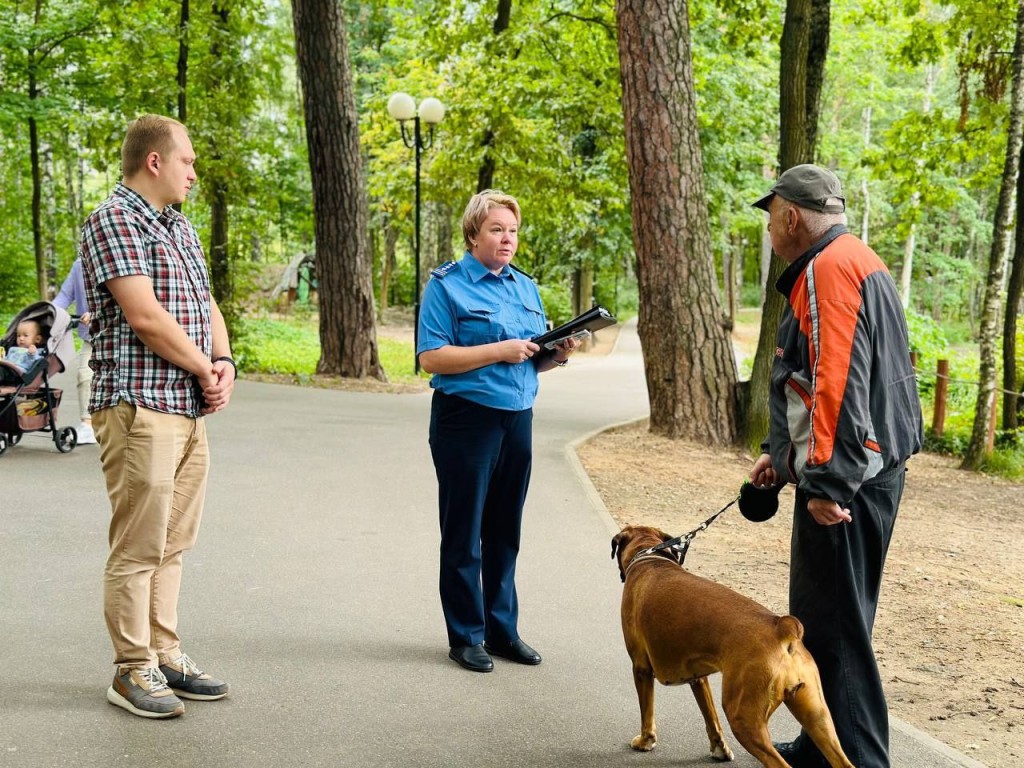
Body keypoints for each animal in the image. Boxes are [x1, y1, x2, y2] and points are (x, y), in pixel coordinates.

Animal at [606, 528, 856, 765]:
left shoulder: (641, 669)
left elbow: (647, 711)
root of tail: (782, 629)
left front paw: (645, 741)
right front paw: (720, 749)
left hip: (743, 718)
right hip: (817, 716)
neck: (650, 556)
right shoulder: (698, 678)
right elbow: (710, 717)